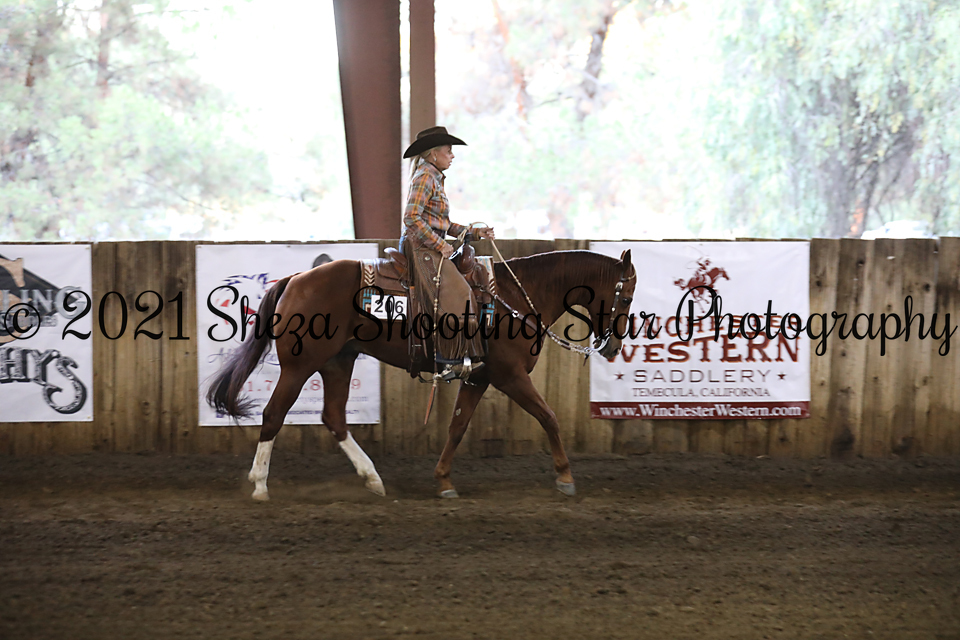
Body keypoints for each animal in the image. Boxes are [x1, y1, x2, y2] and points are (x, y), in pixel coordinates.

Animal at [207, 248, 637, 500]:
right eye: (627, 296)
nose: (613, 348)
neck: (514, 298)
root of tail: (295, 279)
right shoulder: (510, 376)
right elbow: (548, 417)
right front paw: (565, 478)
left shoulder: (479, 377)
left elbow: (457, 427)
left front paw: (443, 480)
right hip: (300, 365)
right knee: (273, 415)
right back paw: (260, 485)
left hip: (338, 362)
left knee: (333, 417)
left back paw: (373, 479)